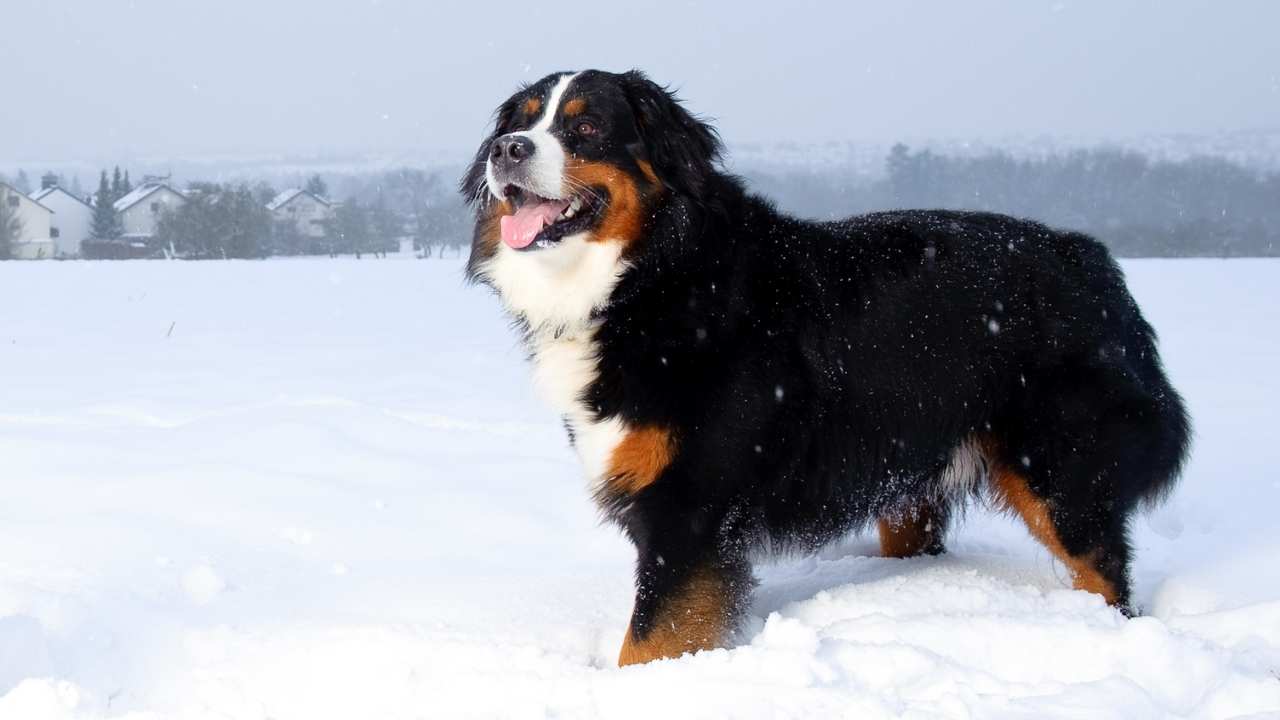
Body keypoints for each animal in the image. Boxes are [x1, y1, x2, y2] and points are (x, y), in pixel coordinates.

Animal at [458, 70, 1187, 666]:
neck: (652, 278)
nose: (507, 150)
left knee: (1104, 571)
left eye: (586, 127)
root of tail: (1091, 258)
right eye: (521, 121)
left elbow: (649, 640)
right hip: (910, 478)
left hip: (1060, 470)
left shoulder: (689, 507)